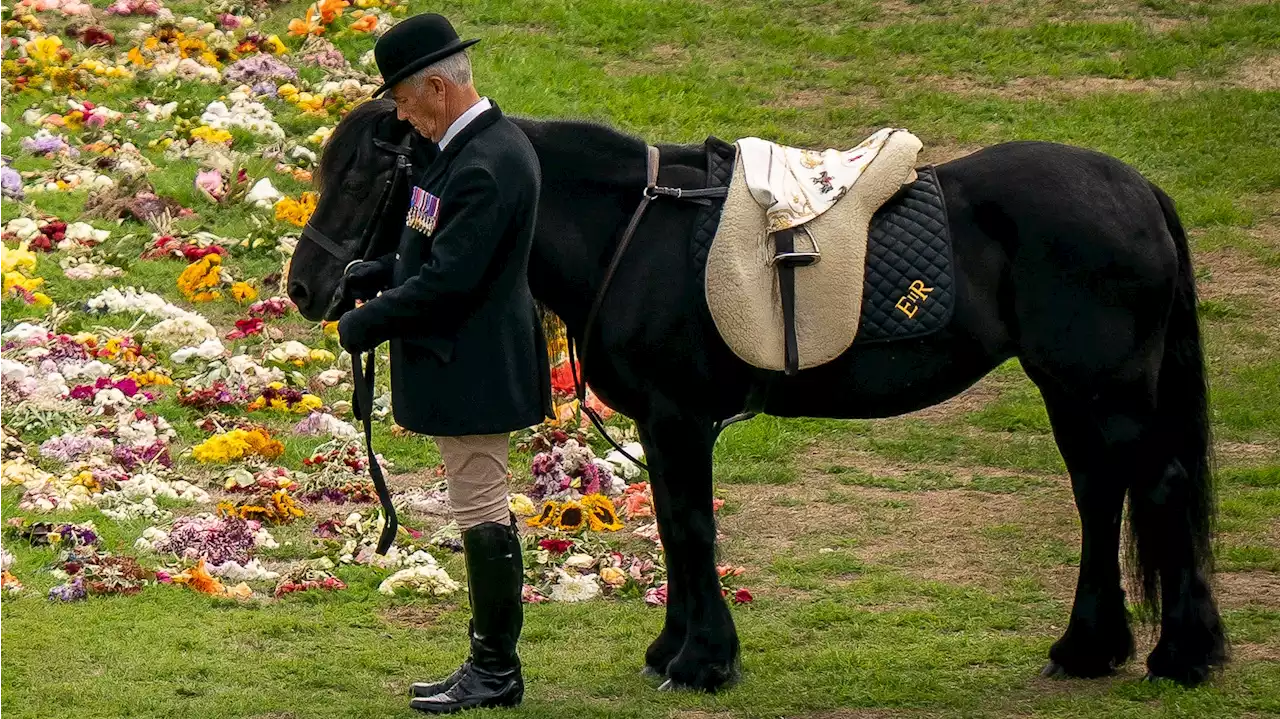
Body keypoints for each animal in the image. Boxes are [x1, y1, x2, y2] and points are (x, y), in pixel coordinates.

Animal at [290, 99, 1228, 690]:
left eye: (364, 177)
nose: (308, 288)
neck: (633, 229)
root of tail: (1138, 191)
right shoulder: (662, 422)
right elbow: (678, 530)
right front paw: (674, 649)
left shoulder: (678, 417)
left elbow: (692, 529)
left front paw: (702, 662)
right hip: (1074, 390)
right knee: (1100, 495)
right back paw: (1090, 647)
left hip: (1105, 387)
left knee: (1155, 488)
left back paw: (1182, 654)